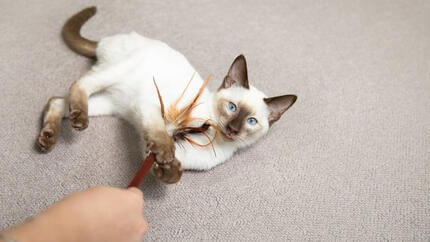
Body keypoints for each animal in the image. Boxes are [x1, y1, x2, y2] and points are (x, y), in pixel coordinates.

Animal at [37, 6, 298, 183]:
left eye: (251, 121)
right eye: (232, 107)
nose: (233, 129)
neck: (214, 140)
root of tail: (105, 41)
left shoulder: (177, 153)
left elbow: (170, 170)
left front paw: (165, 170)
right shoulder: (154, 110)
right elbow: (162, 139)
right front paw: (165, 157)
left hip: (111, 104)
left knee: (57, 101)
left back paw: (48, 138)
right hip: (117, 73)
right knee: (80, 84)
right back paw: (77, 121)